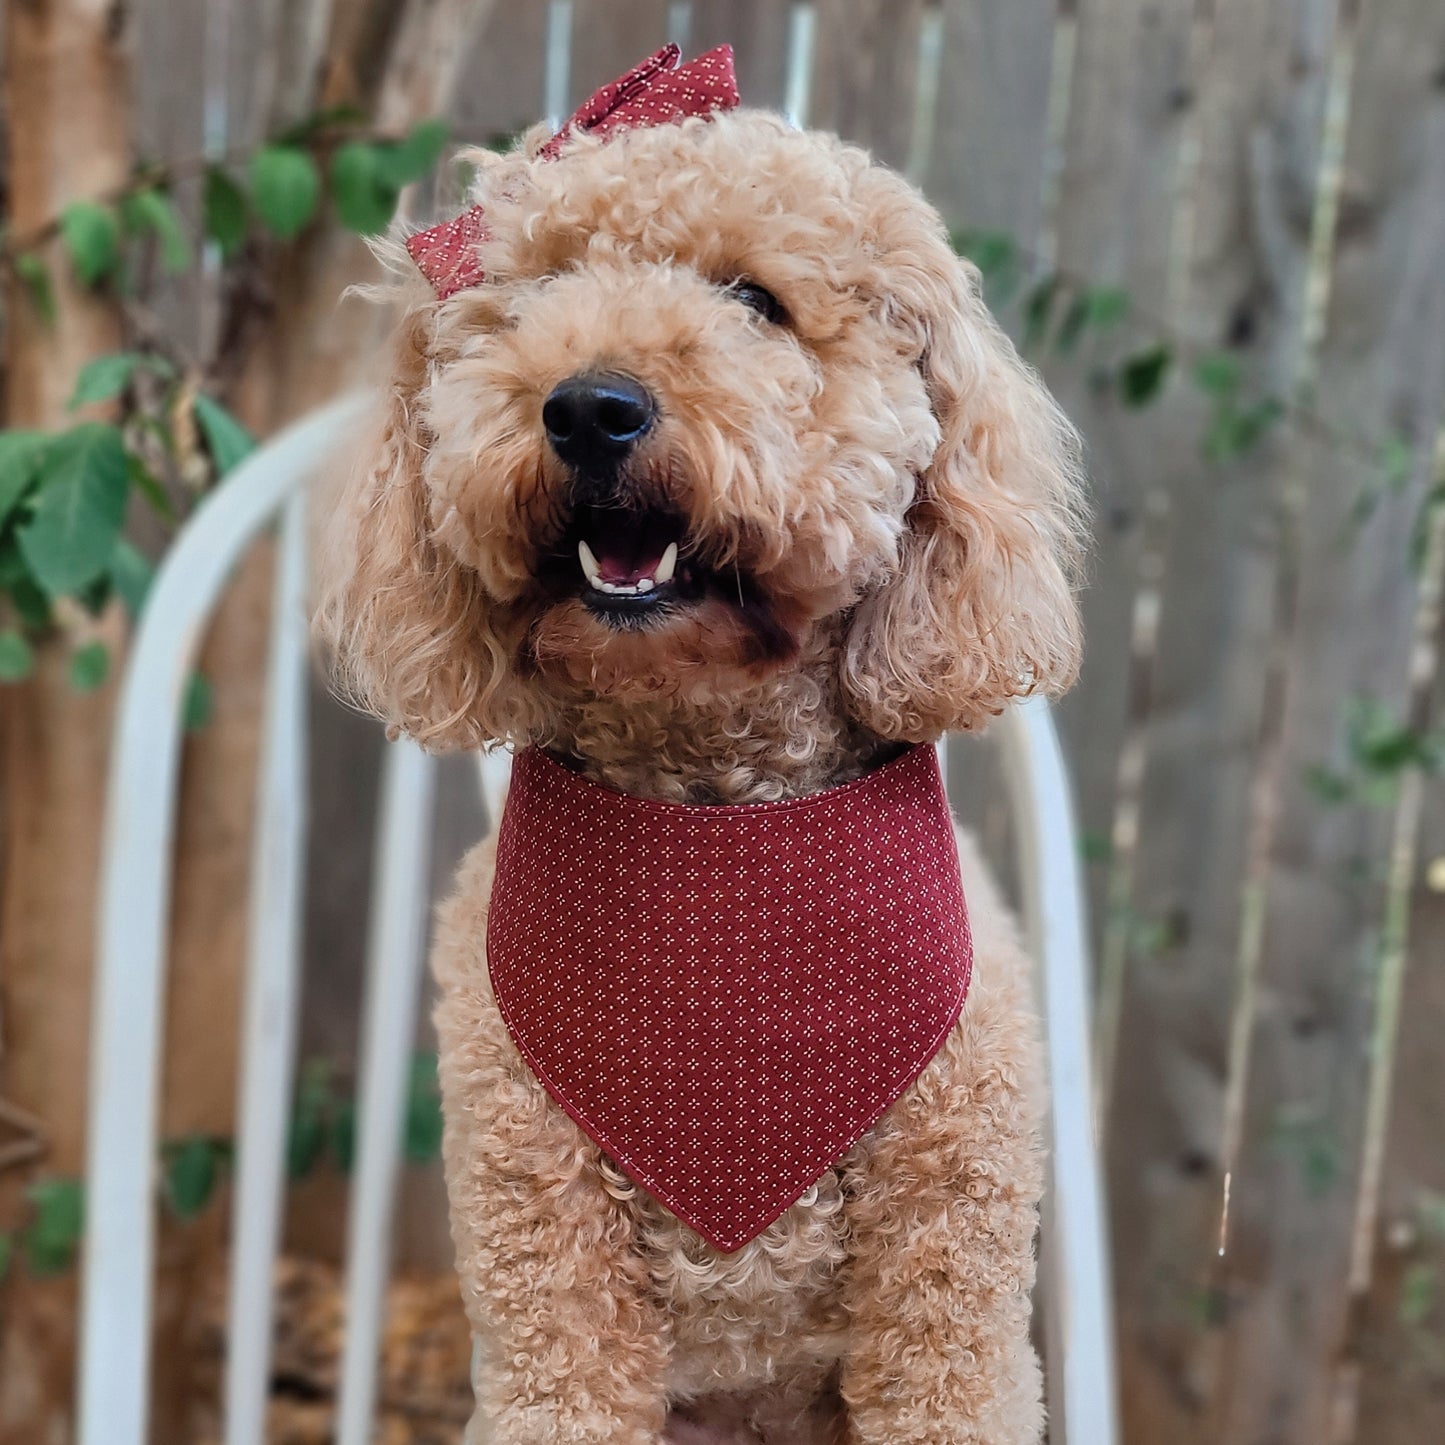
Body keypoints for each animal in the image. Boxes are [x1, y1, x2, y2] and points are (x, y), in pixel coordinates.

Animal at [316, 45, 1086, 1445]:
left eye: (754, 300)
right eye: (537, 297)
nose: (588, 405)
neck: (712, 820)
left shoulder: (945, 1277)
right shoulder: (545, 1263)